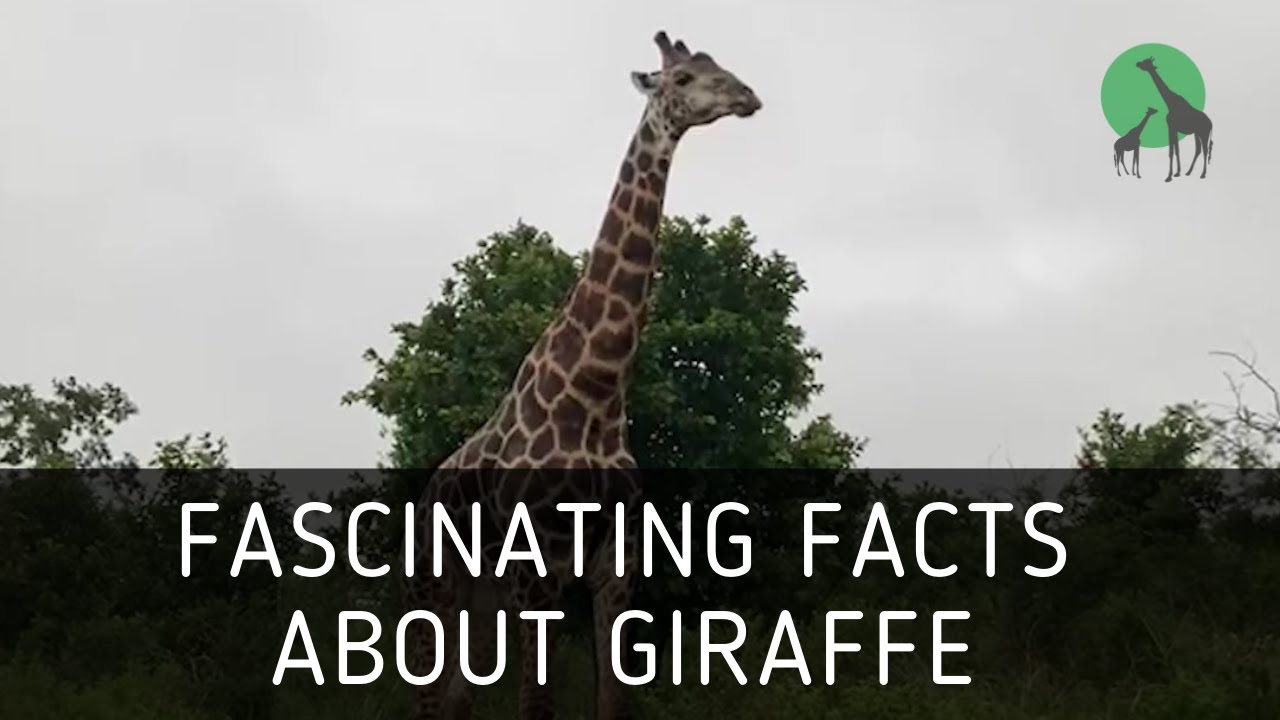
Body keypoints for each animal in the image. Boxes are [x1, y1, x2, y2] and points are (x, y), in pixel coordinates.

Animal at [405, 30, 761, 720]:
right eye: (681, 79)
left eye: (719, 66)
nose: (747, 95)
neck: (597, 394)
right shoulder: (537, 569)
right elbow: (535, 705)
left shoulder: (614, 567)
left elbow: (610, 699)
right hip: (443, 580)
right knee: (432, 697)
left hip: (485, 592)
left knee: (456, 696)